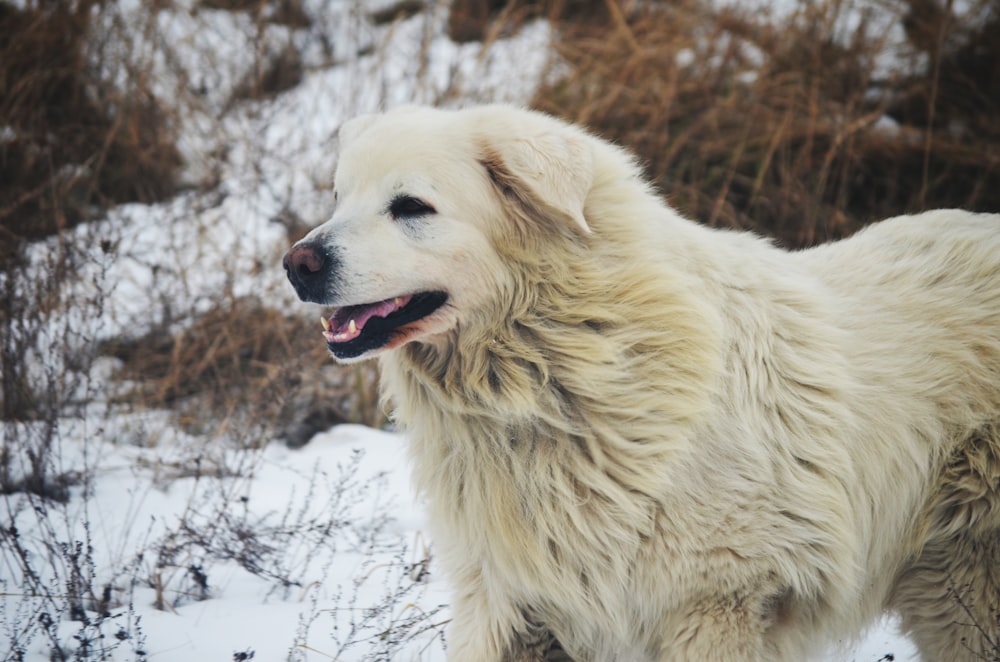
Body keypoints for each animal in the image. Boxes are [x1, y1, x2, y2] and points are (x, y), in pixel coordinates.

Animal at [284, 105, 1000, 662]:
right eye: (339, 199)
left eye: (411, 207)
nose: (297, 263)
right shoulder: (512, 605)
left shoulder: (718, 603)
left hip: (963, 594)